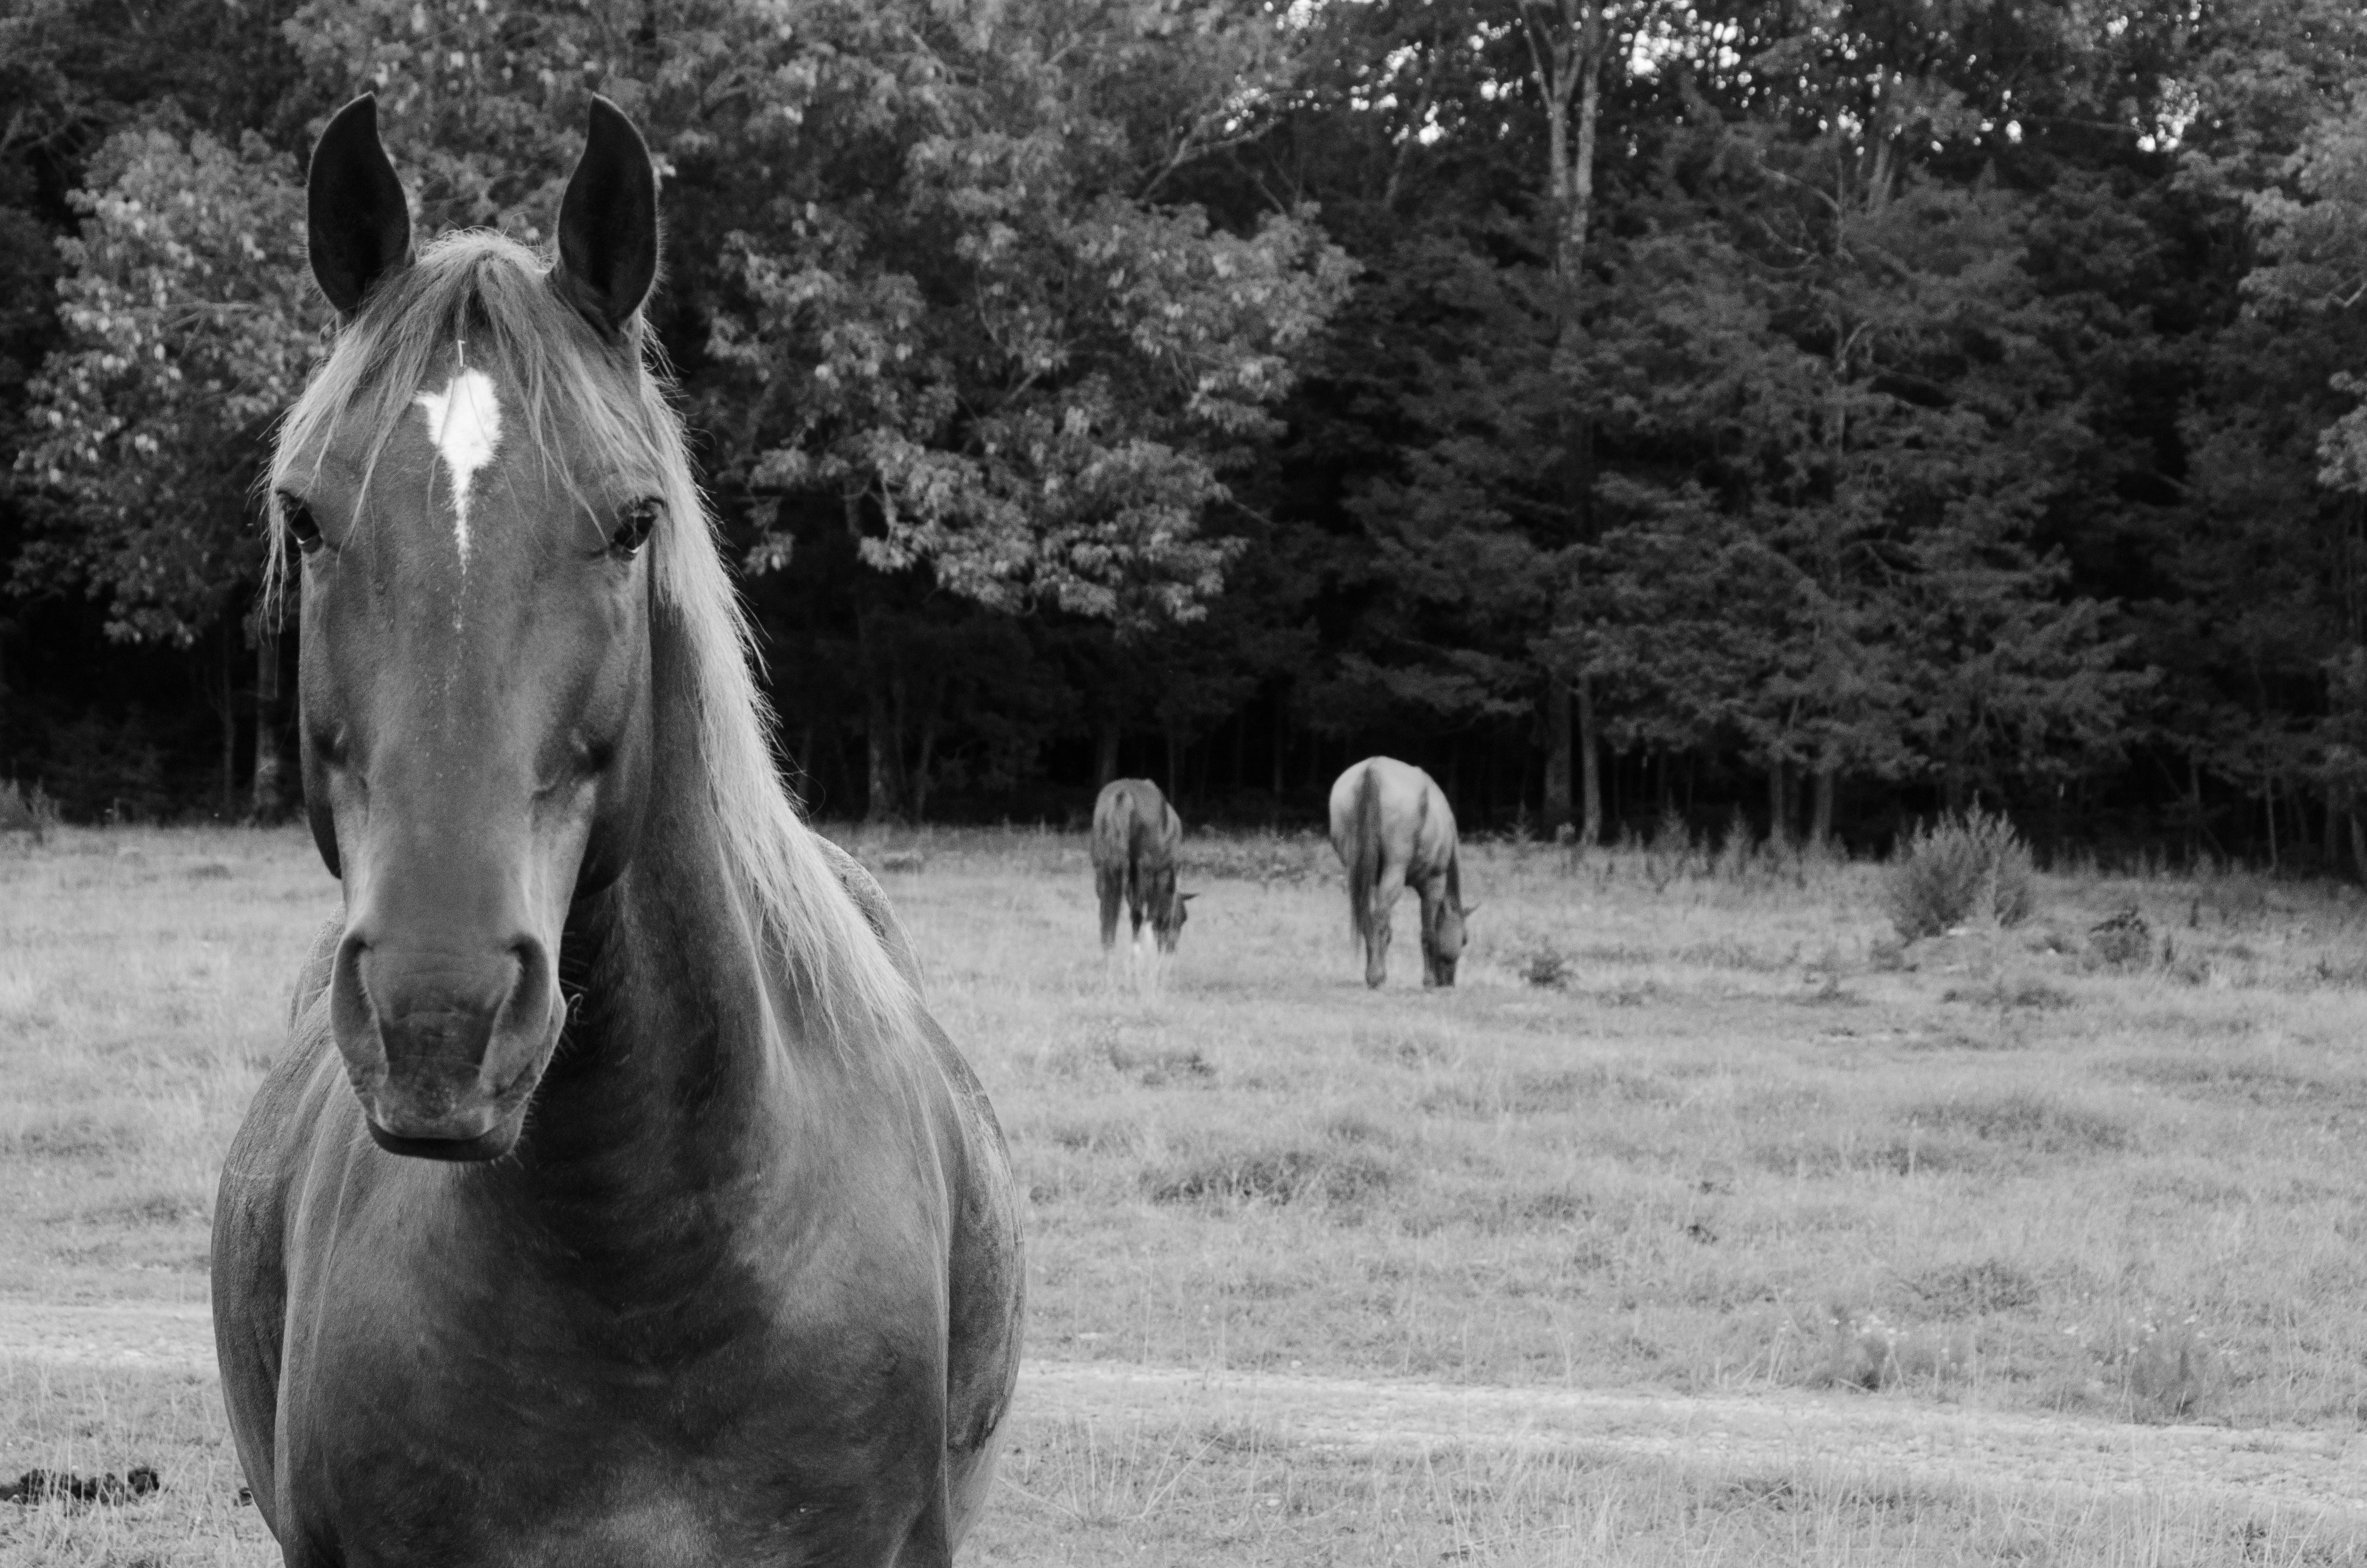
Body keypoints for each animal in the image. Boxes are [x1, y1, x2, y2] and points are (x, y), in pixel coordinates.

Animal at [1090, 778, 1191, 956]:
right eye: (1181, 918)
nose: (1171, 948)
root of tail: (1122, 795)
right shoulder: (1157, 874)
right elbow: (1151, 910)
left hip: (1104, 866)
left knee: (1107, 909)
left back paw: (1108, 951)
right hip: (1143, 869)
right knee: (1136, 912)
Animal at [1328, 757, 1474, 988]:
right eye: (1465, 939)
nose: (1447, 983)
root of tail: (1373, 769)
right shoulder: (1434, 885)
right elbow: (1428, 934)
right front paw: (1429, 980)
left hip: (1356, 873)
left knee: (1367, 917)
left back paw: (1372, 973)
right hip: (1395, 872)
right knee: (1379, 919)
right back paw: (1377, 976)